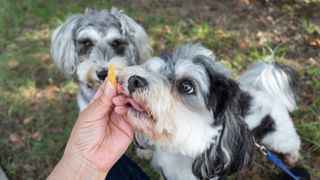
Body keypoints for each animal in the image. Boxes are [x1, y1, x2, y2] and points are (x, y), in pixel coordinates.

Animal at [116, 43, 302, 179]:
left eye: (186, 86)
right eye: (151, 70)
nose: (134, 80)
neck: (179, 151)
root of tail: (264, 91)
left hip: (278, 133)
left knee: (292, 142)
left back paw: (292, 157)